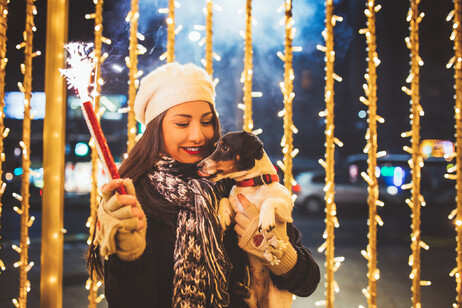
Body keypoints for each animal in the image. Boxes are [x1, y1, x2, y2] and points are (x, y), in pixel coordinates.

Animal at [196, 131, 292, 306]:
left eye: (225, 148)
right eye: (216, 147)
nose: (199, 165)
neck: (251, 185)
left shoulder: (287, 210)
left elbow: (270, 200)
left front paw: (265, 219)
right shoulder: (236, 209)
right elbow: (225, 199)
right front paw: (223, 216)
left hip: (277, 300)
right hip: (251, 296)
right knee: (248, 297)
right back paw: (241, 289)